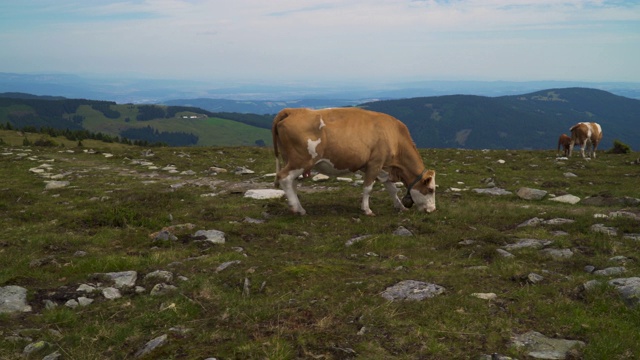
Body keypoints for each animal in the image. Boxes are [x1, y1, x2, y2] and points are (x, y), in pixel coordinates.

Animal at [270, 107, 436, 217]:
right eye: (430, 189)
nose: (432, 210)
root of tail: (293, 110)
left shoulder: (383, 167)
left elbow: (392, 189)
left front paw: (400, 206)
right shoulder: (375, 163)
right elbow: (368, 188)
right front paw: (367, 210)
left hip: (291, 160)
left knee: (292, 182)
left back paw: (297, 207)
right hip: (302, 160)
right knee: (284, 177)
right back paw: (297, 209)